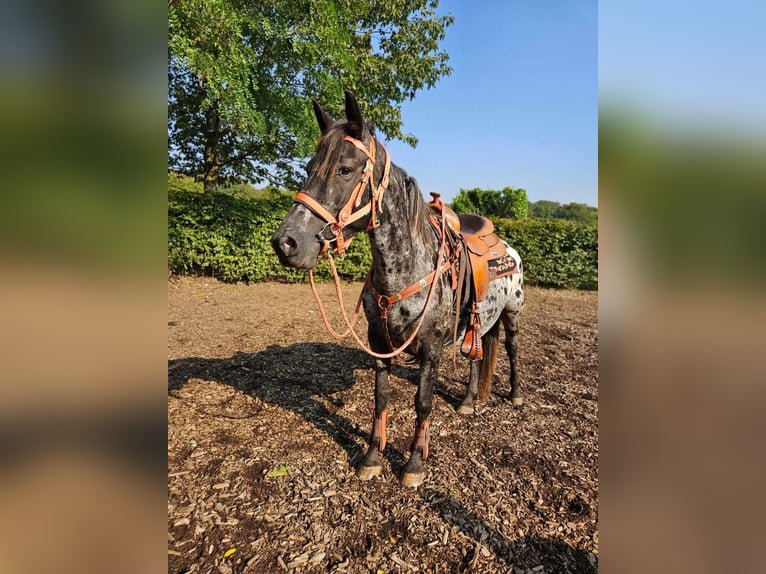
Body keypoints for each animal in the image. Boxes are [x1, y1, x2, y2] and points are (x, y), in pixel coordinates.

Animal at [272, 92, 524, 488]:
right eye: (309, 166)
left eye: (345, 169)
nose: (286, 243)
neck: (406, 269)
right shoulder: (378, 340)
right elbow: (381, 398)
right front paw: (372, 458)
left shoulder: (432, 347)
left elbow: (422, 402)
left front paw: (414, 464)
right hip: (478, 320)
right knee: (476, 355)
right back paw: (468, 400)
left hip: (512, 313)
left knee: (512, 349)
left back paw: (514, 395)